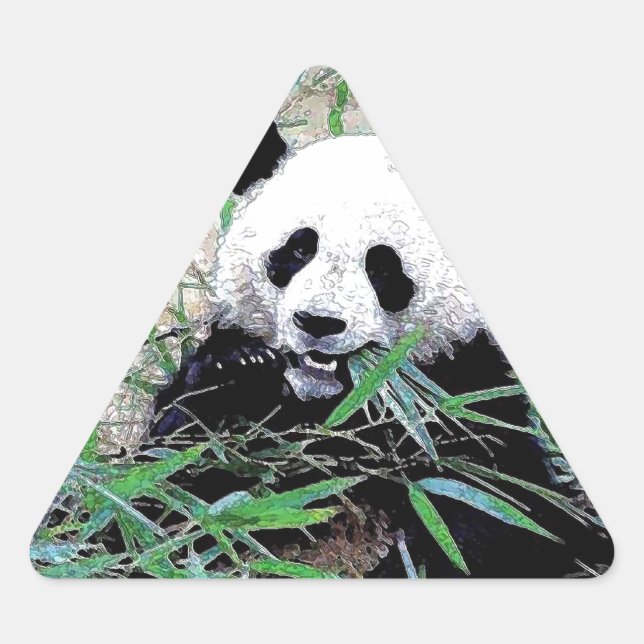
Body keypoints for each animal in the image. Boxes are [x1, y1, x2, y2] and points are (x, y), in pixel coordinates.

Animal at [150, 126, 613, 577]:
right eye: (300, 248)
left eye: (382, 267)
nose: (318, 322)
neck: (331, 405)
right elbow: (173, 490)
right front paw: (239, 368)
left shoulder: (462, 393)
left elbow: (500, 507)